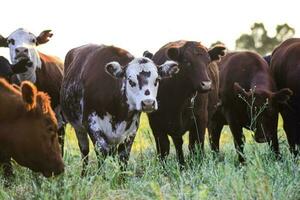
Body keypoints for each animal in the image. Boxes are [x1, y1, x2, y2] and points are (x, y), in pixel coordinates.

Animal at [60, 44, 179, 175]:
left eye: (156, 80)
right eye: (131, 81)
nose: (148, 103)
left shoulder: (131, 131)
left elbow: (123, 157)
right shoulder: (92, 124)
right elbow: (102, 153)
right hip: (78, 127)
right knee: (84, 151)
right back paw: (84, 174)